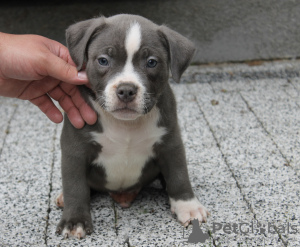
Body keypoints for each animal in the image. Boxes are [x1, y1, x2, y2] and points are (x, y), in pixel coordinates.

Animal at [55, 14, 207, 239]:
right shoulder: (75, 150)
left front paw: (187, 206)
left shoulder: (170, 144)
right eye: (103, 60)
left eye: (151, 62)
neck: (125, 124)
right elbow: (75, 186)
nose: (126, 90)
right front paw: (75, 221)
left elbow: (179, 175)